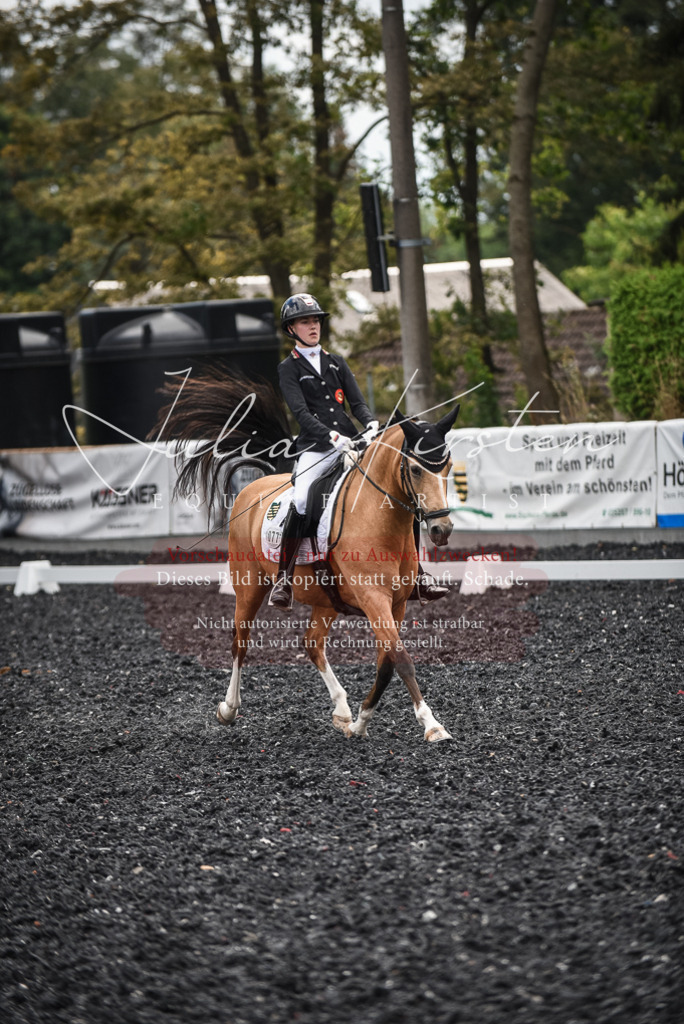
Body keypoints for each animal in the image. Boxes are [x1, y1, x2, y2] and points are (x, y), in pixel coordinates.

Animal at [155, 368, 459, 742]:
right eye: (416, 469)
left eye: (447, 468)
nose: (441, 529)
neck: (377, 518)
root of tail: (255, 488)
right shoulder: (374, 598)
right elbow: (401, 659)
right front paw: (432, 725)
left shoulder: (398, 602)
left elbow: (386, 662)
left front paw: (360, 722)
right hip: (249, 586)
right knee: (240, 643)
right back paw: (228, 709)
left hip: (325, 599)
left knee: (312, 643)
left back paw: (342, 710)